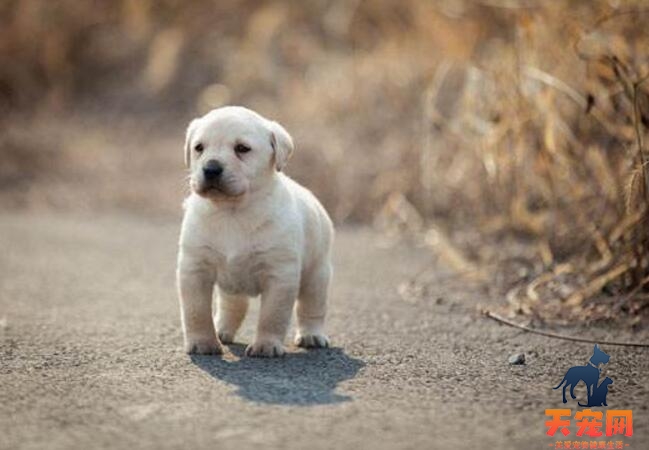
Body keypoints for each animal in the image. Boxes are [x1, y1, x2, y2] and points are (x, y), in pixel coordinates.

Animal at [176, 106, 334, 358]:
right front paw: (202, 342)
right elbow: (196, 311)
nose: (210, 169)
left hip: (317, 273)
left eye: (242, 148)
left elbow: (273, 315)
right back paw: (221, 329)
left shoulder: (280, 274)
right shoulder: (194, 268)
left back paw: (312, 335)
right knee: (232, 305)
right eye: (199, 147)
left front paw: (266, 345)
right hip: (231, 284)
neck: (232, 211)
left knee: (312, 306)